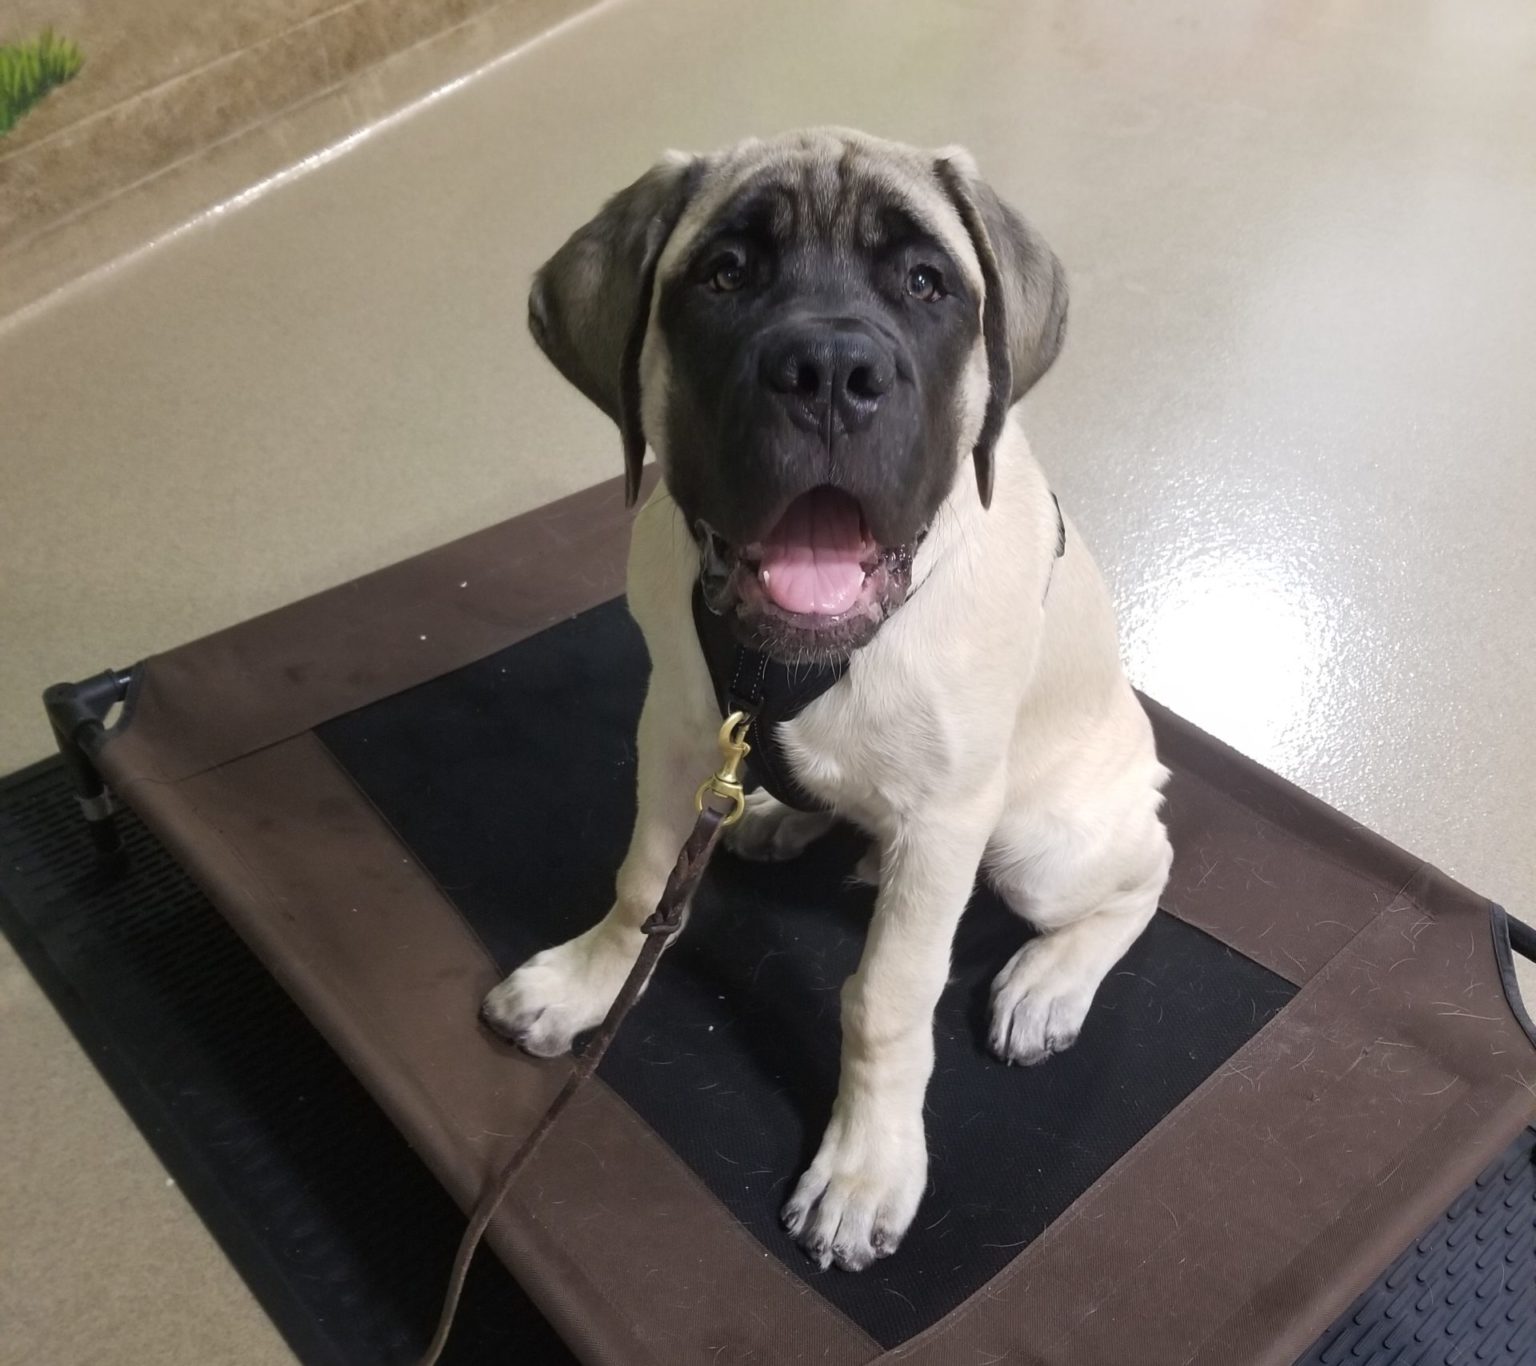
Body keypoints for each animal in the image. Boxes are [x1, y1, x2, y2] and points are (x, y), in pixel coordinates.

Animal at [485, 127, 1167, 1266]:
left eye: (928, 284)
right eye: (725, 274)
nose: (833, 376)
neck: (790, 660)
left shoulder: (947, 820)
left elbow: (887, 997)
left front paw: (866, 1165)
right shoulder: (679, 731)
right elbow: (642, 883)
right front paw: (590, 982)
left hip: (1039, 846)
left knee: (1144, 873)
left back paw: (1049, 981)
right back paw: (775, 818)